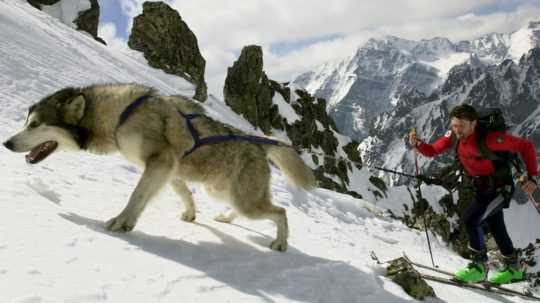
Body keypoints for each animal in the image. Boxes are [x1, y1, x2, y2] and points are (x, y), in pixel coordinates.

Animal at [3, 83, 316, 252]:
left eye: (35, 124)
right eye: (26, 122)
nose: (6, 143)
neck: (120, 116)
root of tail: (260, 143)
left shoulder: (160, 162)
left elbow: (137, 195)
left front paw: (122, 222)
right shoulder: (168, 169)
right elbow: (183, 192)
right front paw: (190, 213)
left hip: (242, 198)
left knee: (280, 212)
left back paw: (280, 243)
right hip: (223, 191)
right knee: (251, 208)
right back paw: (226, 218)